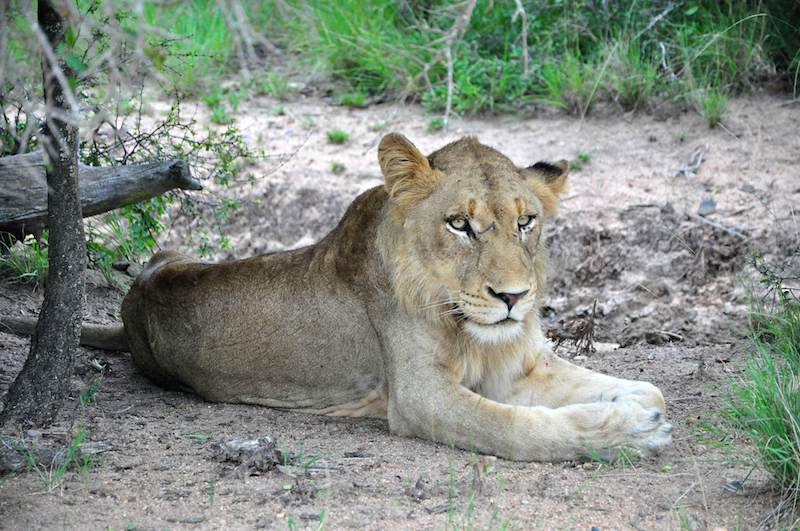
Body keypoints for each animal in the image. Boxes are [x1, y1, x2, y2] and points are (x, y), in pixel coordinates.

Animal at [1, 134, 672, 461]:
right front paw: (626, 434)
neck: (466, 323)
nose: (513, 297)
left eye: (526, 222)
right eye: (460, 224)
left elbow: (642, 386)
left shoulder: (519, 365)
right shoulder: (418, 397)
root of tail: (135, 300)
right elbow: (518, 429)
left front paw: (640, 406)